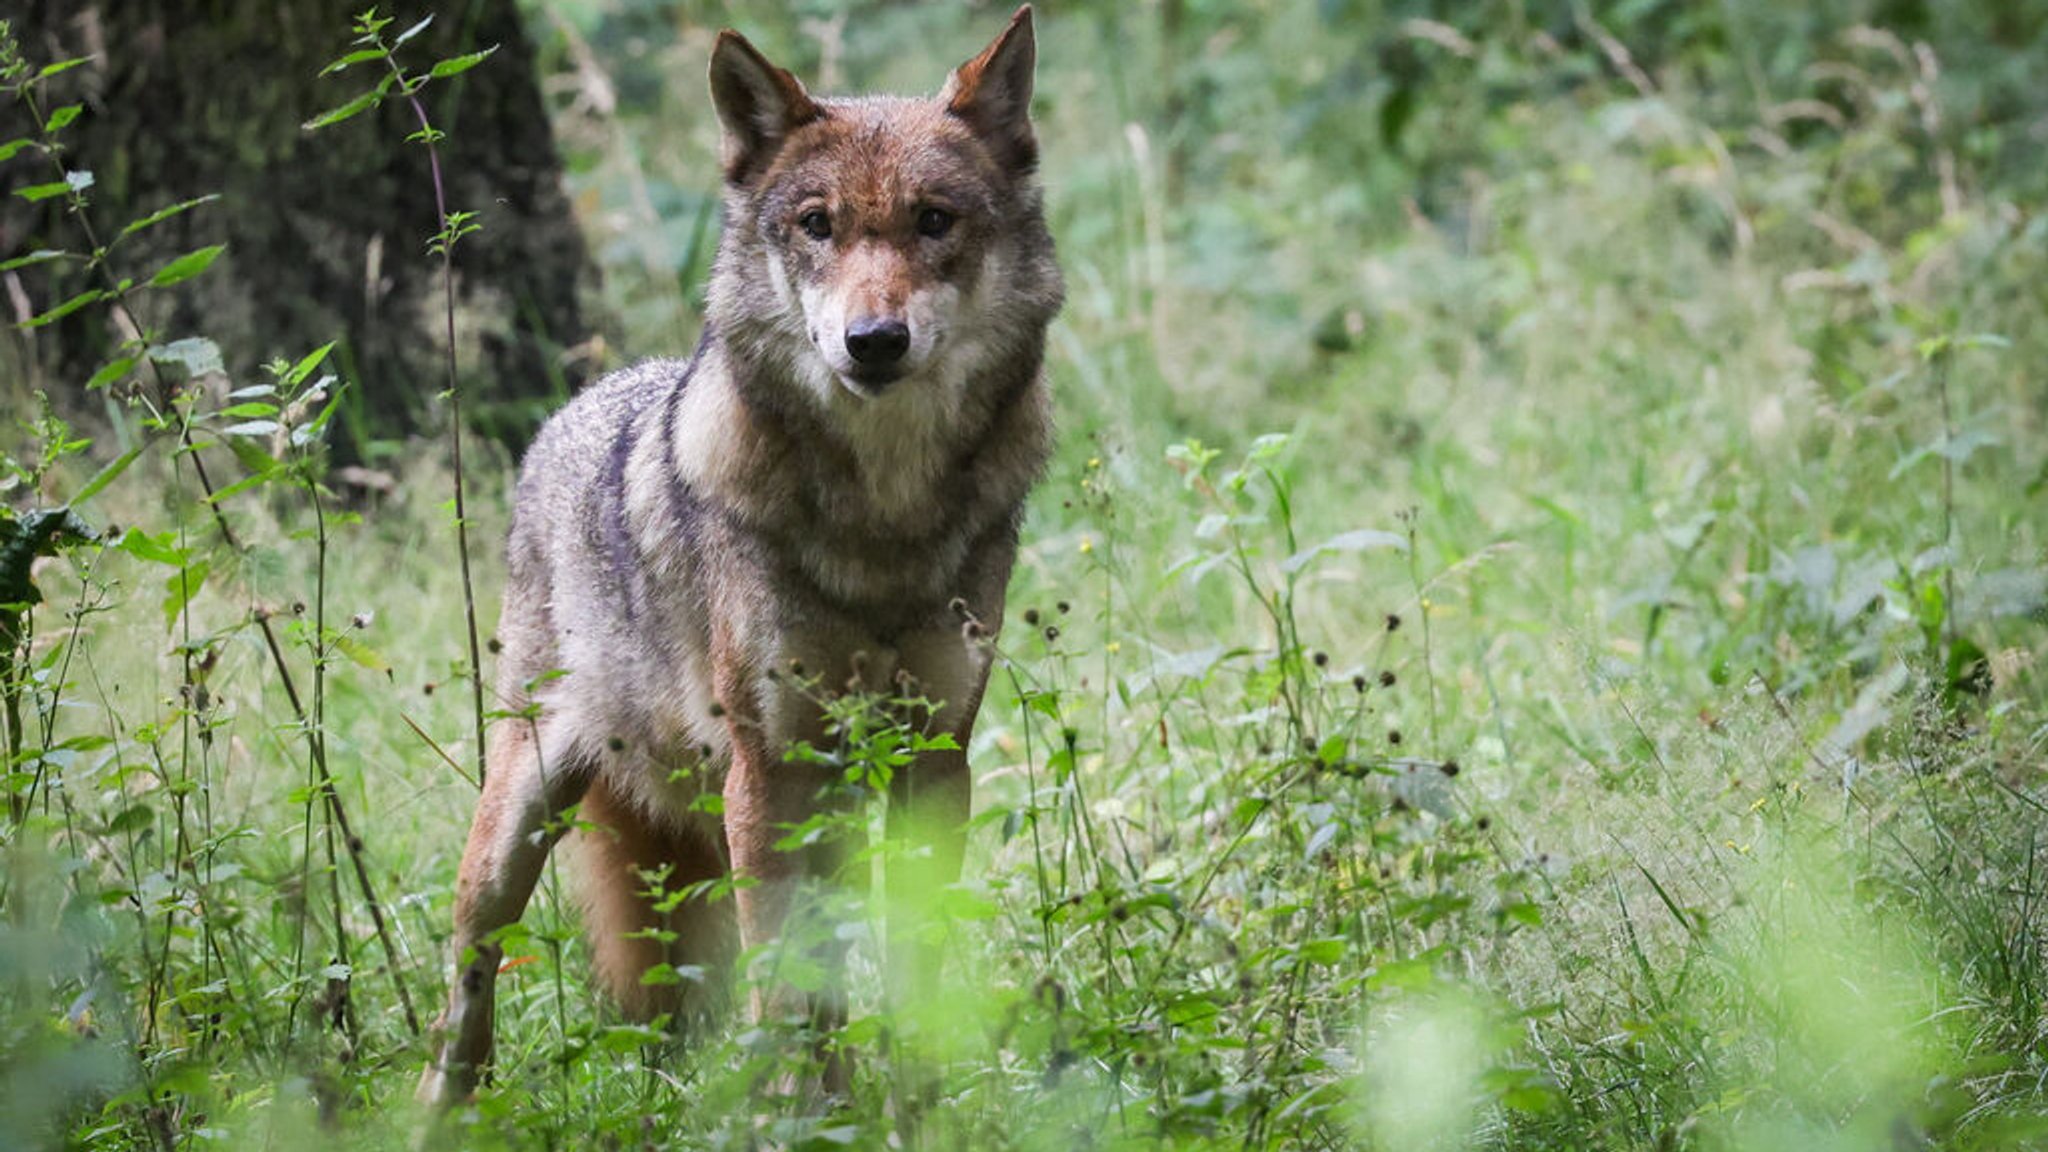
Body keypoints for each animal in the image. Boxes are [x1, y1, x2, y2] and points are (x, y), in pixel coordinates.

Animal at [411, 6, 1056, 1106]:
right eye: (816, 225)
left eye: (933, 221)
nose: (872, 341)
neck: (882, 521)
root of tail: (574, 408)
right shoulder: (769, 768)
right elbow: (784, 982)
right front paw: (800, 1113)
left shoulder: (933, 759)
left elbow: (913, 964)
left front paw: (918, 1105)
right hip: (520, 824)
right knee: (469, 979)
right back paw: (439, 1111)